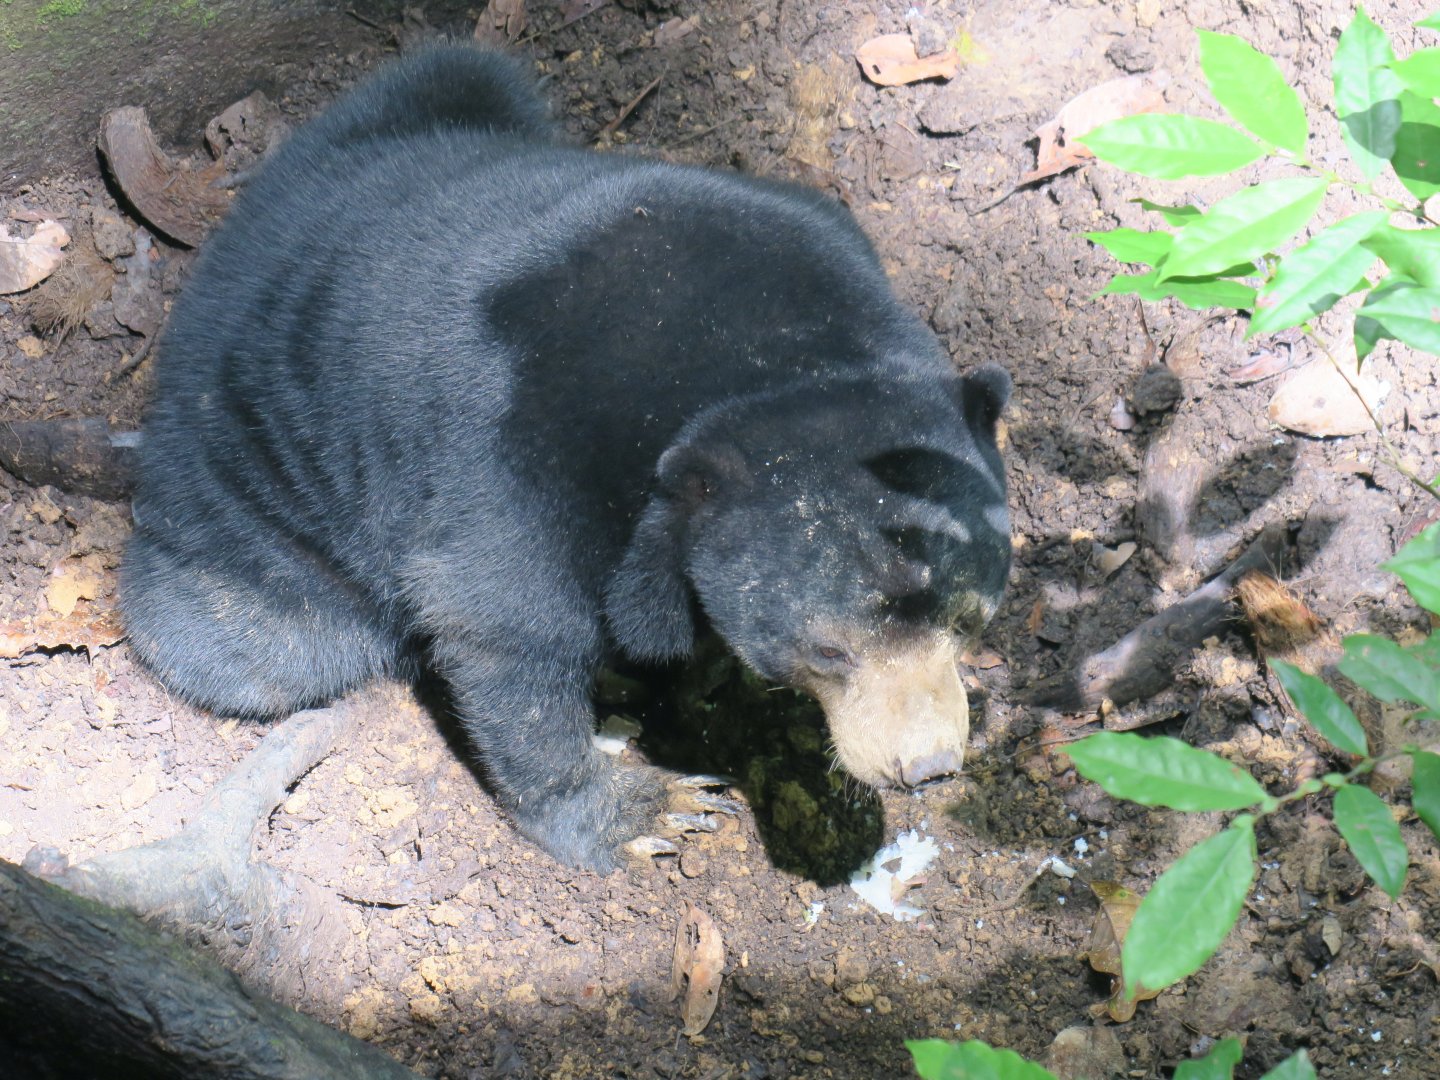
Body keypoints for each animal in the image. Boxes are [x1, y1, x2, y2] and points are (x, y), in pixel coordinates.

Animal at [120, 45, 1012, 872]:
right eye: (826, 649)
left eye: (971, 620)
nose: (926, 768)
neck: (781, 361)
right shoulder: (515, 462)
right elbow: (504, 628)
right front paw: (644, 811)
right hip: (246, 499)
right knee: (248, 646)